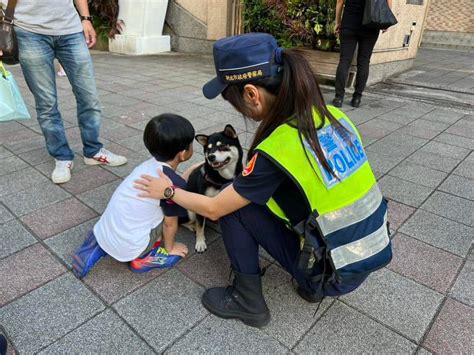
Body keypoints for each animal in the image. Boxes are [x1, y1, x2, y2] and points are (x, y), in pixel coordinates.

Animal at [185, 125, 244, 253]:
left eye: (222, 146)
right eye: (208, 150)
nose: (211, 157)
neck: (223, 179)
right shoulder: (201, 202)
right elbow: (200, 226)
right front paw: (200, 243)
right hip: (190, 212)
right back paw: (193, 227)